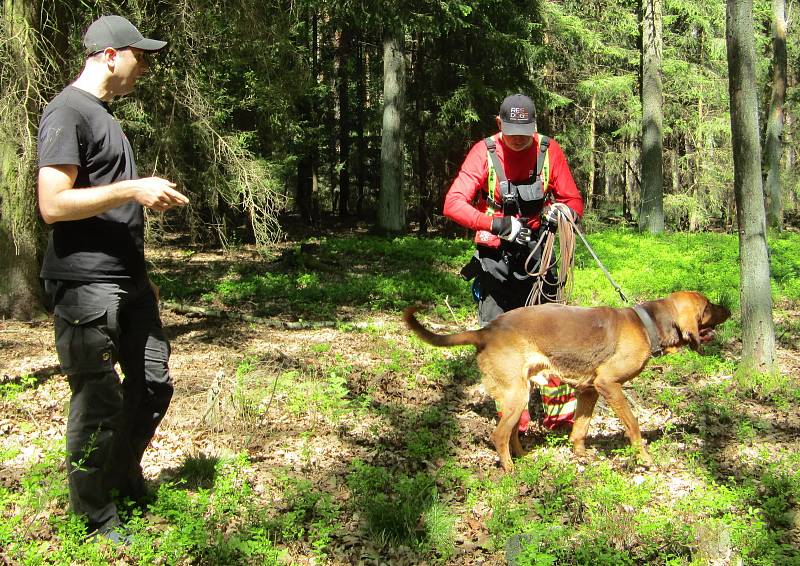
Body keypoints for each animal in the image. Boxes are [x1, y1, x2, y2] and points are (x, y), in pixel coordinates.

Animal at [406, 292, 732, 474]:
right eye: (708, 306)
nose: (730, 310)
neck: (648, 323)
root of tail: (485, 331)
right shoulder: (609, 385)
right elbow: (634, 427)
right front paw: (645, 459)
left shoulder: (589, 391)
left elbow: (580, 429)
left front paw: (581, 456)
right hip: (516, 394)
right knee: (498, 435)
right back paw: (511, 471)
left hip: (519, 394)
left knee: (511, 432)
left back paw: (523, 457)